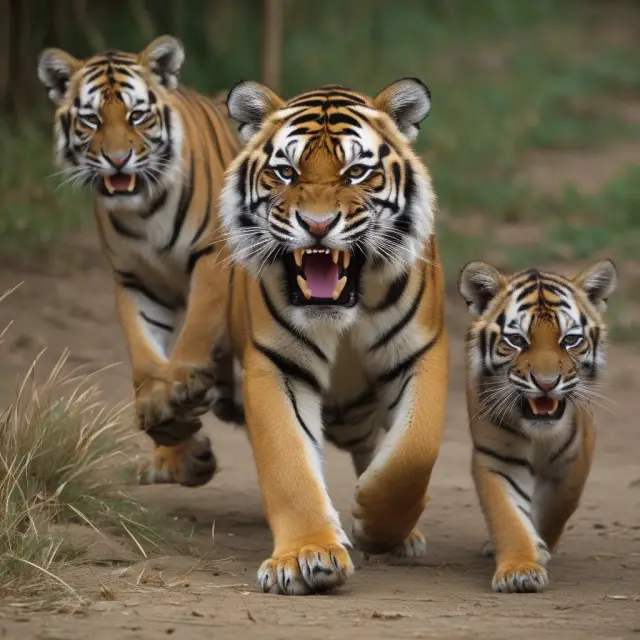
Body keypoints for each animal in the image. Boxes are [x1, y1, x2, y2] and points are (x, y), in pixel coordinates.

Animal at [37, 36, 242, 487]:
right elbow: (143, 348)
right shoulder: (136, 279)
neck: (145, 209)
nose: (117, 159)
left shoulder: (213, 255)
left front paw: (182, 381)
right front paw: (159, 407)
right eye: (91, 119)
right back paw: (180, 458)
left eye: (137, 115)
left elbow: (198, 325)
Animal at [219, 78, 449, 596]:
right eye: (285, 172)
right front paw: (307, 555)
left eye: (357, 171)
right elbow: (290, 465)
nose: (317, 225)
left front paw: (375, 524)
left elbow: (413, 451)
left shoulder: (420, 351)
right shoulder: (276, 364)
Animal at [458, 259, 617, 593]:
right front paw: (520, 570)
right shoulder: (496, 459)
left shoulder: (573, 461)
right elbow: (508, 517)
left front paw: (541, 547)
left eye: (570, 340)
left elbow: (555, 509)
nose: (546, 384)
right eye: (517, 340)